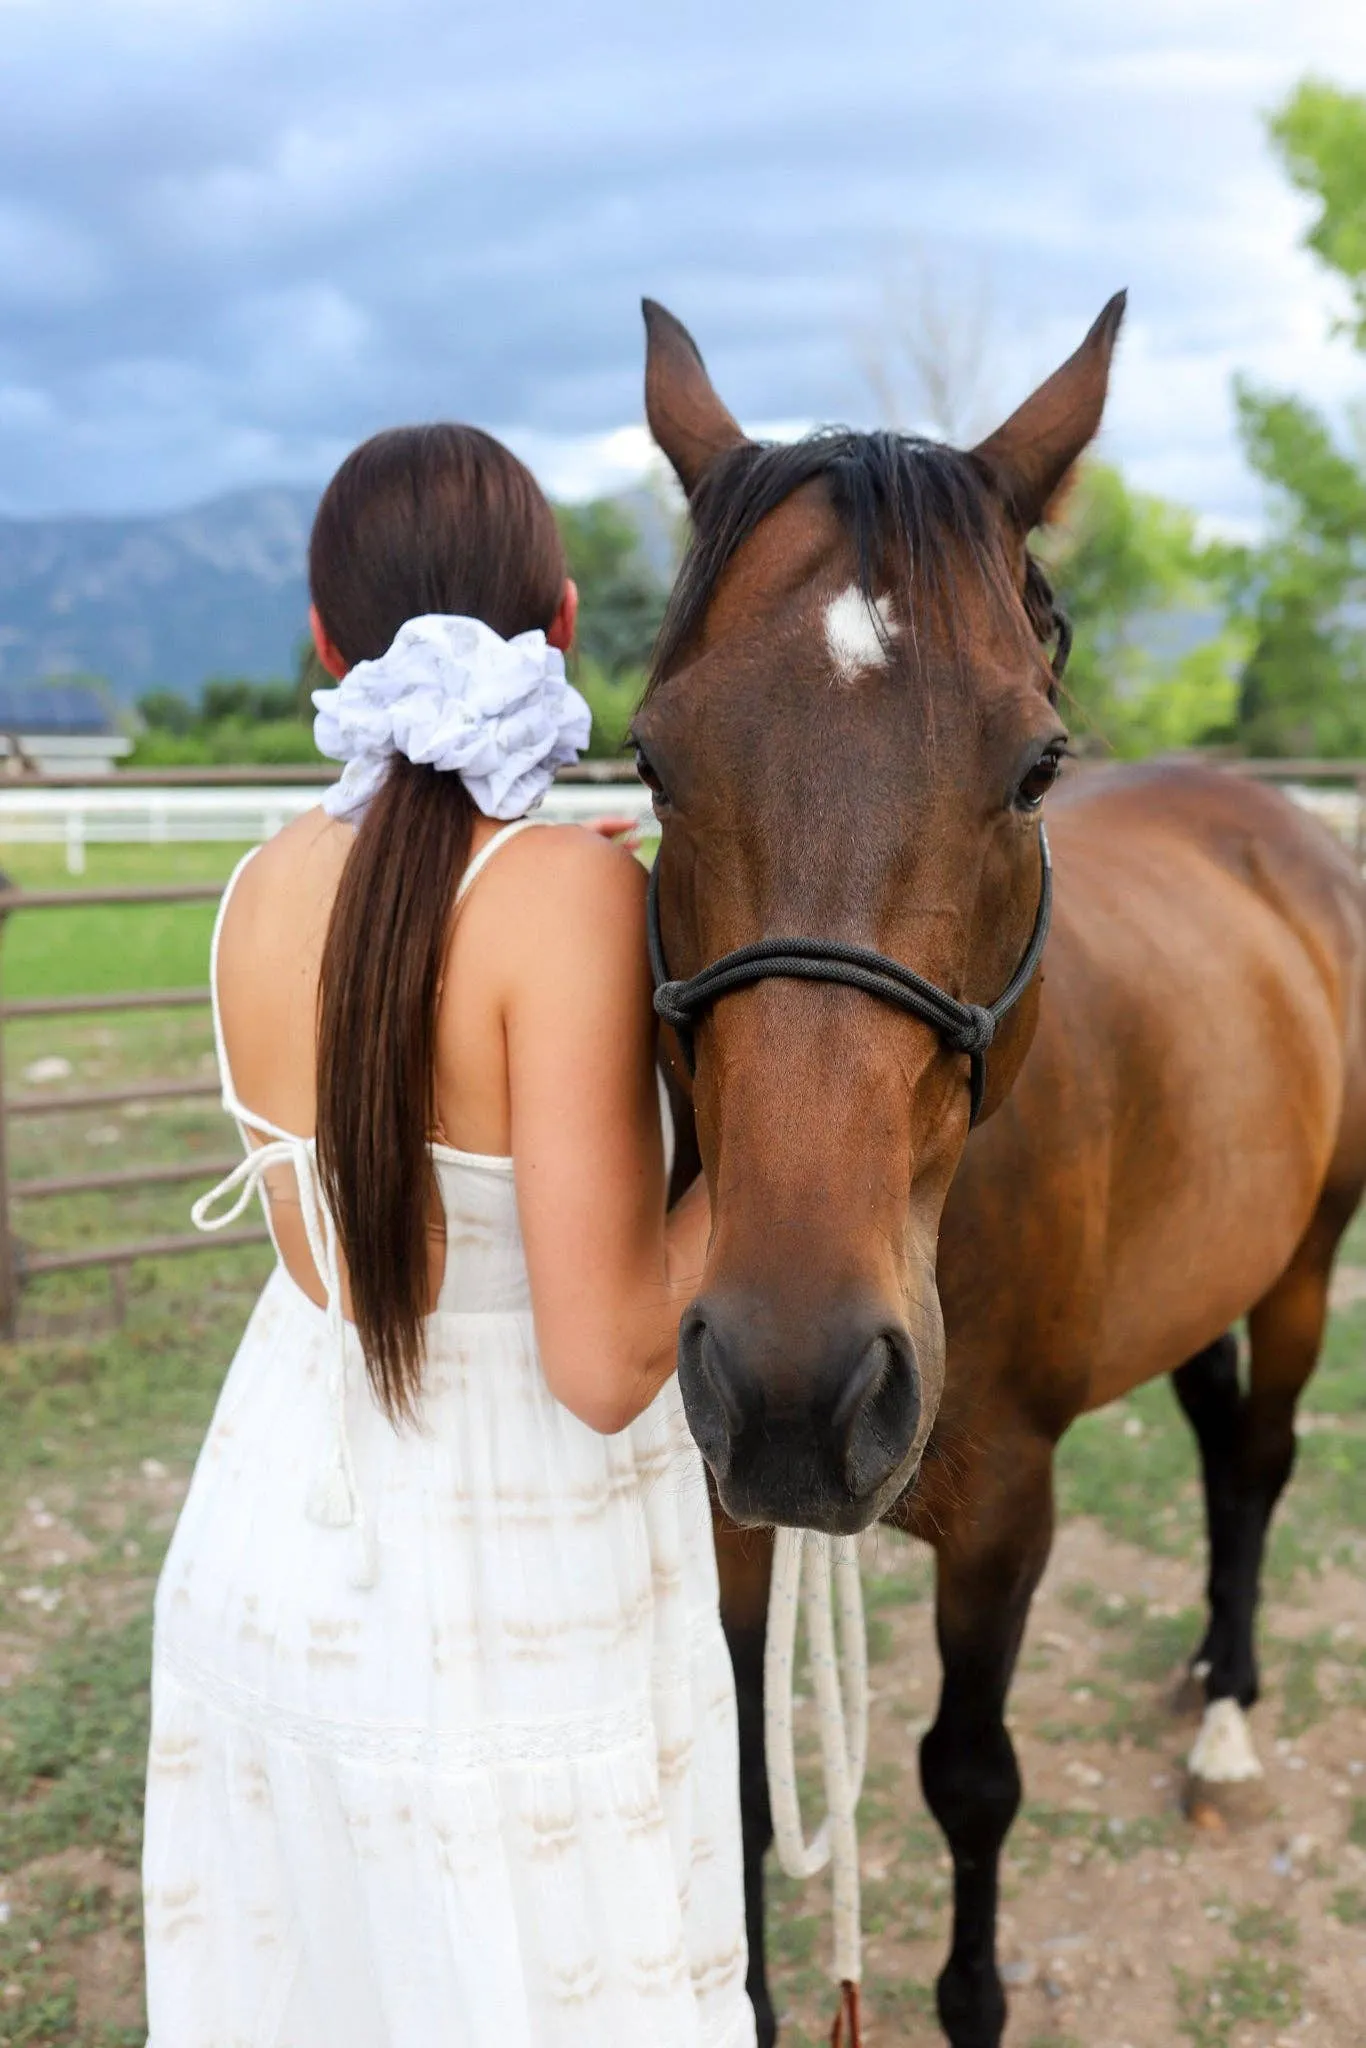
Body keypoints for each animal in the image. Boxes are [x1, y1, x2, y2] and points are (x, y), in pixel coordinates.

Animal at [634, 299, 1366, 2048]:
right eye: (648, 762)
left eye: (1036, 769)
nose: (796, 1382)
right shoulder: (727, 1510)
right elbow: (739, 1799)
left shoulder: (1003, 1518)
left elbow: (969, 1785)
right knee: (1219, 1440)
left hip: (1306, 1263)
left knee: (1260, 1460)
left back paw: (1226, 1720)